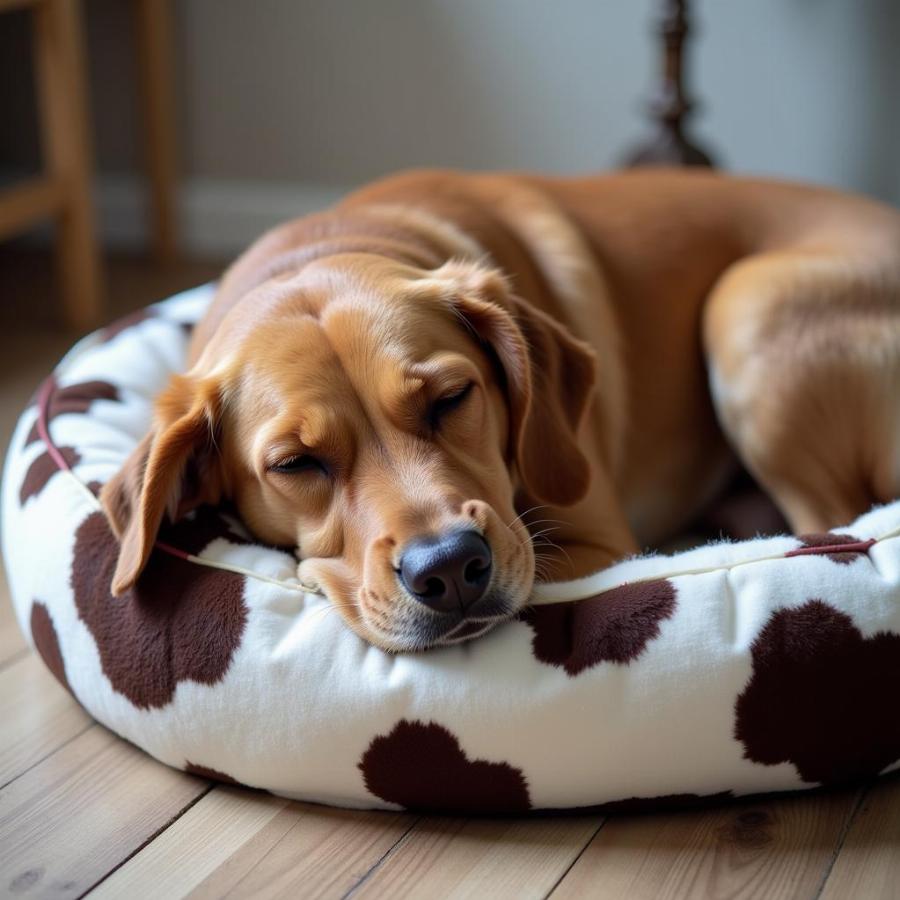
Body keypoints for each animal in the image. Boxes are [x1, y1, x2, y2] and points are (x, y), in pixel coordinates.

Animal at [98, 167, 900, 648]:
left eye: (452, 398)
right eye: (295, 463)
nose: (450, 568)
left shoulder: (598, 541)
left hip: (746, 305)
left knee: (834, 518)